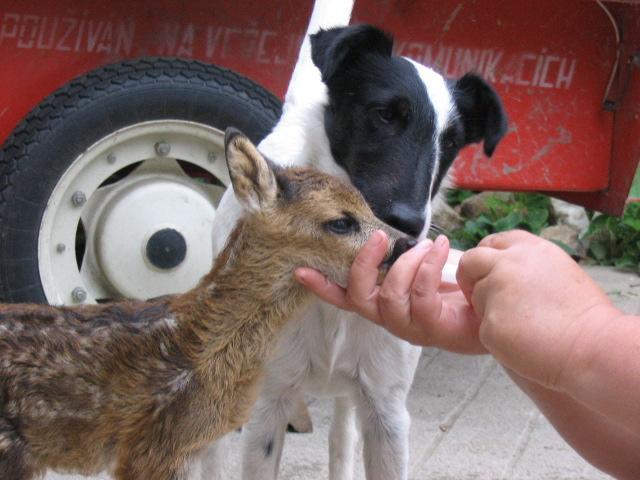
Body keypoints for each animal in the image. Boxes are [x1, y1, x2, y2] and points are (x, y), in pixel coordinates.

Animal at [202, 21, 508, 476]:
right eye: (384, 114)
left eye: (451, 142)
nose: (408, 227)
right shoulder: (266, 409)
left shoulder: (387, 412)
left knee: (341, 440)